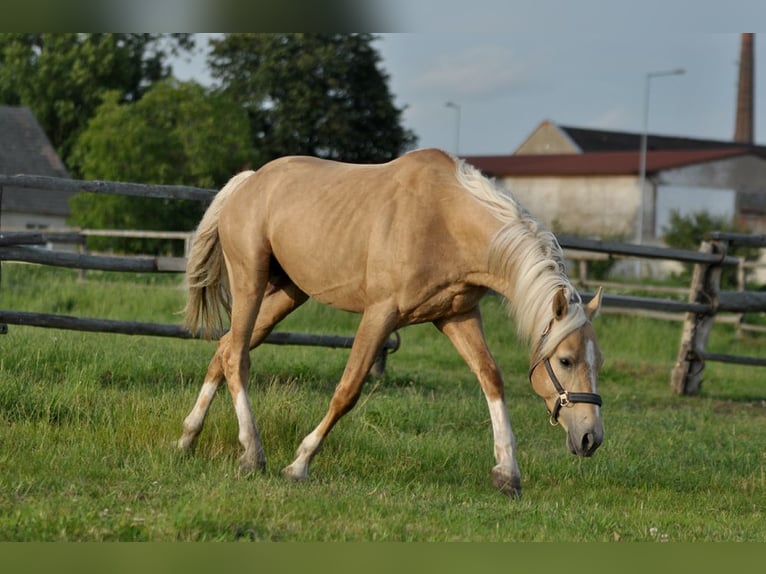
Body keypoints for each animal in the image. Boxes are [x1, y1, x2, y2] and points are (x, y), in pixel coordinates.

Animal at [177, 148, 604, 498]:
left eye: (597, 361)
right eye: (565, 360)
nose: (591, 438)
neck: (446, 220)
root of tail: (249, 182)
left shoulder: (457, 315)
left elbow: (491, 379)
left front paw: (508, 474)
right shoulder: (380, 313)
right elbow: (347, 390)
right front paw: (299, 464)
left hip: (286, 293)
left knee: (225, 349)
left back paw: (188, 438)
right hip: (249, 281)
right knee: (237, 357)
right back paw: (252, 453)